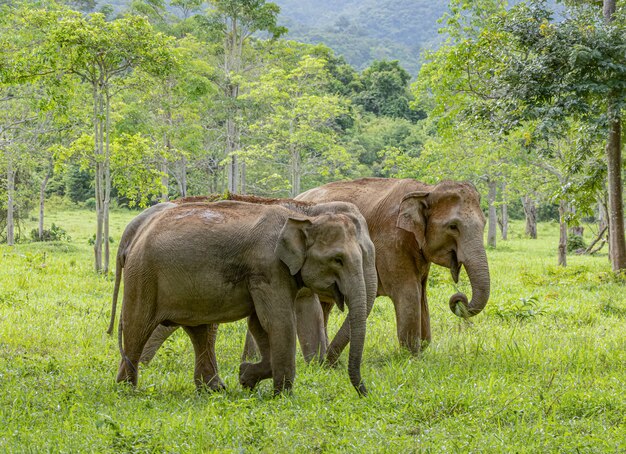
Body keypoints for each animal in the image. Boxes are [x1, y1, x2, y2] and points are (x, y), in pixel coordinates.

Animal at [115, 200, 370, 396]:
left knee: (200, 331)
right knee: (137, 327)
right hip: (143, 275)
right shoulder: (269, 267)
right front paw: (282, 395)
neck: (303, 217)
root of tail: (137, 234)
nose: (364, 393)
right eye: (338, 259)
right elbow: (279, 321)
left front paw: (246, 377)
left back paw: (214, 390)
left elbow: (259, 323)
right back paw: (127, 391)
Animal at [294, 177, 490, 362]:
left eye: (484, 224)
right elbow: (408, 293)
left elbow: (421, 294)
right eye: (453, 226)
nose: (459, 299)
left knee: (324, 306)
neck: (426, 190)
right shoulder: (391, 242)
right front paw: (412, 357)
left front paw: (421, 347)